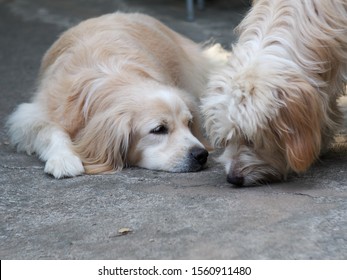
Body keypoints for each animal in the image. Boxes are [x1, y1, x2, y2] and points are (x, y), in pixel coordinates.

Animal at [6, 12, 222, 178]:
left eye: (188, 123)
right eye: (159, 130)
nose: (201, 154)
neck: (116, 78)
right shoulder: (32, 114)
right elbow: (50, 131)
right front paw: (64, 159)